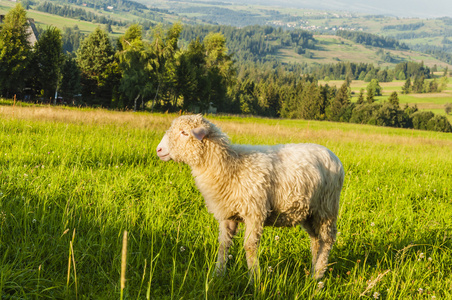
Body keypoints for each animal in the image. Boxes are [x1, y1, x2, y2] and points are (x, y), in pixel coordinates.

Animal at [157, 114, 344, 282]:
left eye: (184, 132)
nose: (159, 149)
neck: (231, 166)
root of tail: (333, 155)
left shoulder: (255, 212)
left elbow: (249, 246)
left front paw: (254, 279)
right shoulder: (229, 214)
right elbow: (223, 245)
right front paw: (218, 275)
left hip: (327, 208)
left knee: (327, 241)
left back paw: (318, 276)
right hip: (309, 212)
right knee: (316, 240)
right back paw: (313, 272)